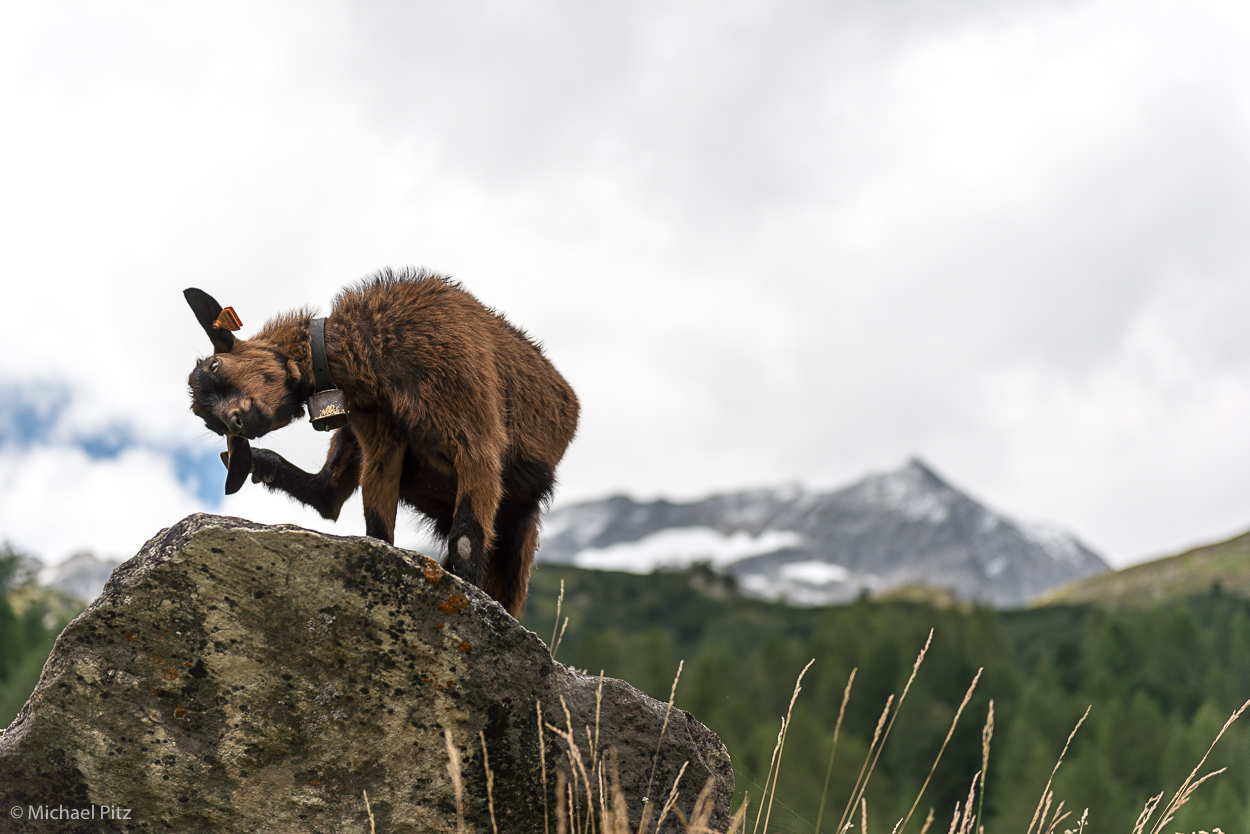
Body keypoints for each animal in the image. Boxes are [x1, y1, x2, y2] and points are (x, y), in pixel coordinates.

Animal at [183, 268, 580, 620]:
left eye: (216, 365)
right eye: (211, 424)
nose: (235, 422)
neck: (376, 349)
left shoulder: (476, 437)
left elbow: (465, 541)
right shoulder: (378, 438)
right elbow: (377, 528)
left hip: (519, 533)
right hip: (352, 435)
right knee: (328, 497)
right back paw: (261, 464)